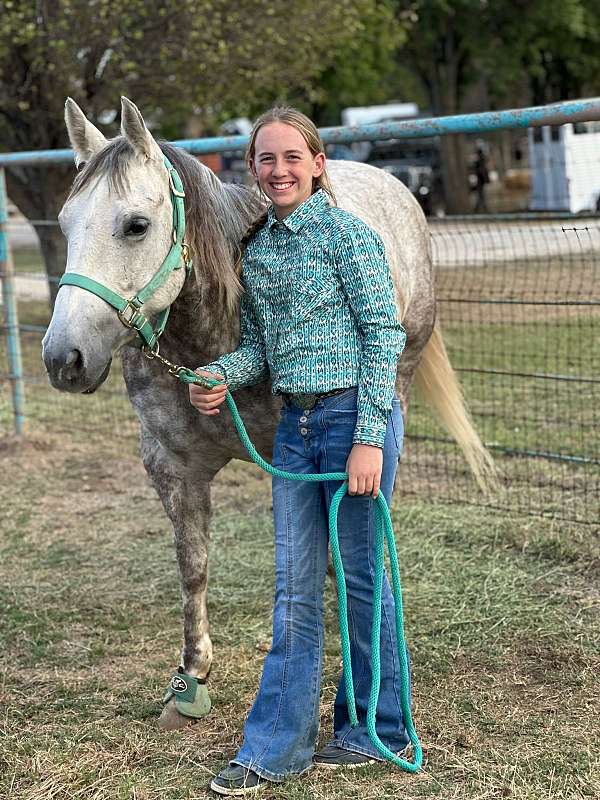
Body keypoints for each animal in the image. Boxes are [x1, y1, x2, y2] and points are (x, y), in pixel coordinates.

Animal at [42, 97, 492, 728]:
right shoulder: (171, 467)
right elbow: (194, 564)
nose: (64, 358)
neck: (217, 331)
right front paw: (191, 679)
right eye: (64, 224)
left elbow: (323, 558)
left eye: (136, 225)